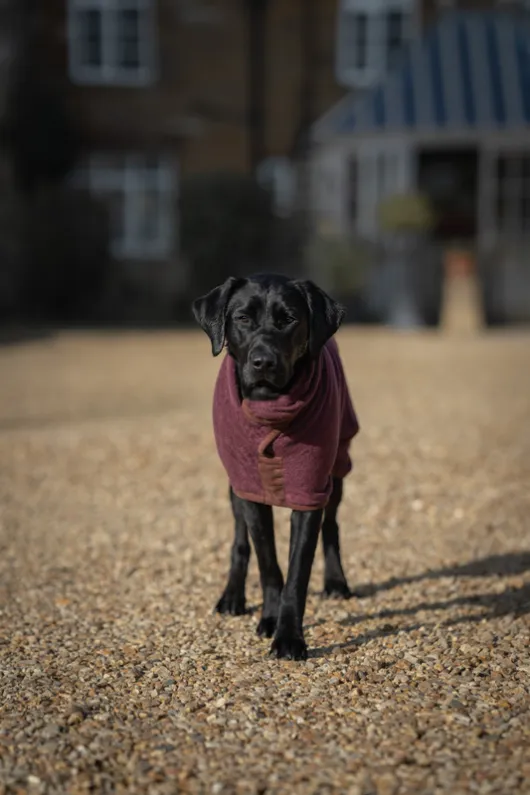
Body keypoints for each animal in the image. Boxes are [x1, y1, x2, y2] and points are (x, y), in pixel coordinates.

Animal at [192, 274, 356, 660]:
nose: (263, 362)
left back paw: (336, 581)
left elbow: (297, 573)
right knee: (240, 542)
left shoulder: (310, 489)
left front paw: (289, 637)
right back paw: (232, 596)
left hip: (338, 466)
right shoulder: (249, 489)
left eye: (289, 319)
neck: (270, 406)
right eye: (242, 318)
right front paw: (269, 618)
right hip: (234, 485)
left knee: (332, 526)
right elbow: (268, 562)